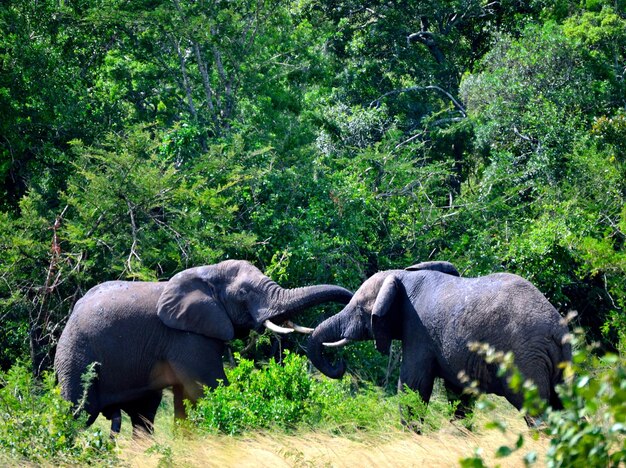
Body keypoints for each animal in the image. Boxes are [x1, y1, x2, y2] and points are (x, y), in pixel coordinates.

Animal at [54, 258, 352, 434]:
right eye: (244, 293)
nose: (341, 360)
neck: (206, 273)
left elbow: (186, 398)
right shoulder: (187, 337)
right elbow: (208, 388)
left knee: (143, 414)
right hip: (75, 354)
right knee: (79, 412)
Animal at [308, 262, 572, 426]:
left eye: (360, 310)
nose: (340, 364)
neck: (403, 276)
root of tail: (557, 329)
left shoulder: (419, 333)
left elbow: (413, 386)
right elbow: (459, 395)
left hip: (524, 359)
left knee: (534, 408)